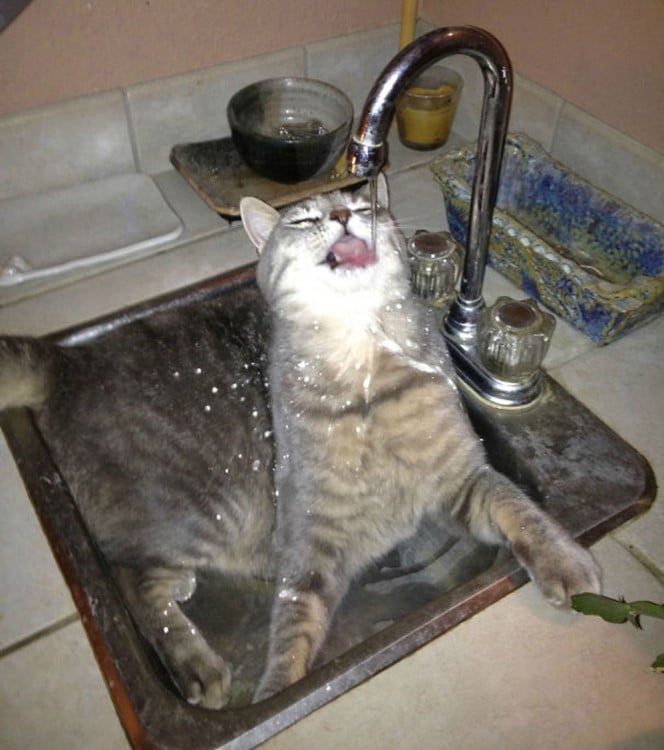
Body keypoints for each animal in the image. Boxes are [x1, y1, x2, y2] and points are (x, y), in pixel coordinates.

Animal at [0, 176, 600, 712]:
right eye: (303, 219)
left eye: (363, 205)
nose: (340, 214)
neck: (362, 364)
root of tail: (69, 360)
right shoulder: (311, 543)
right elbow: (292, 631)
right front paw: (275, 693)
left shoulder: (465, 478)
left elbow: (520, 509)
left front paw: (564, 562)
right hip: (203, 509)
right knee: (130, 580)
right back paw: (194, 662)